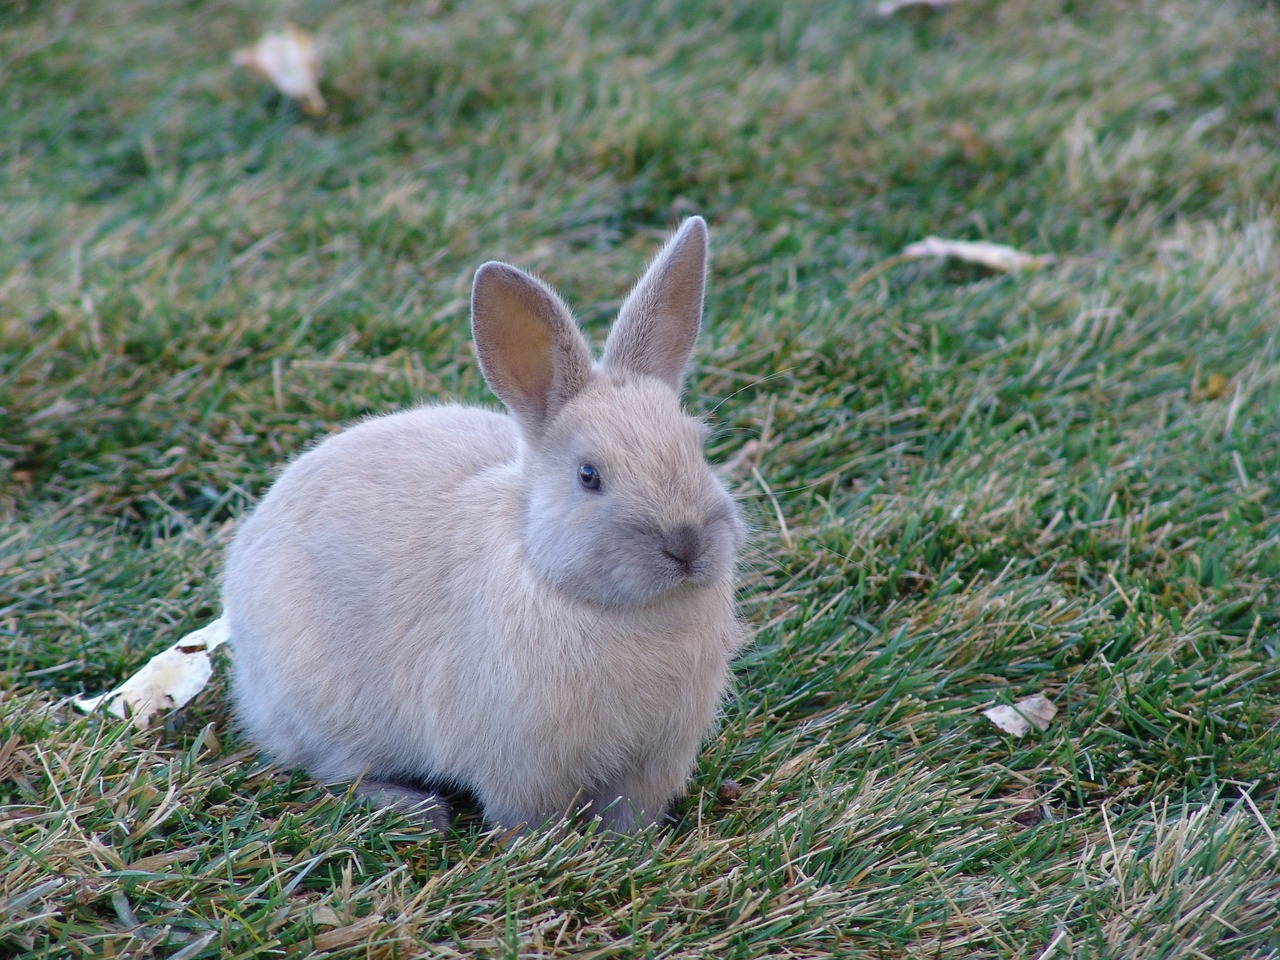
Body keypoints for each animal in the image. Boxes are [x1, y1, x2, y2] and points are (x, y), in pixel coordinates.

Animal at [224, 217, 747, 834]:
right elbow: (526, 815)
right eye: (589, 475)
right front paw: (542, 844)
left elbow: (628, 810)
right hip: (323, 706)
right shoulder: (523, 764)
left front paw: (629, 842)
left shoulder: (653, 760)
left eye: (698, 447)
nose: (687, 545)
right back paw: (415, 808)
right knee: (334, 768)